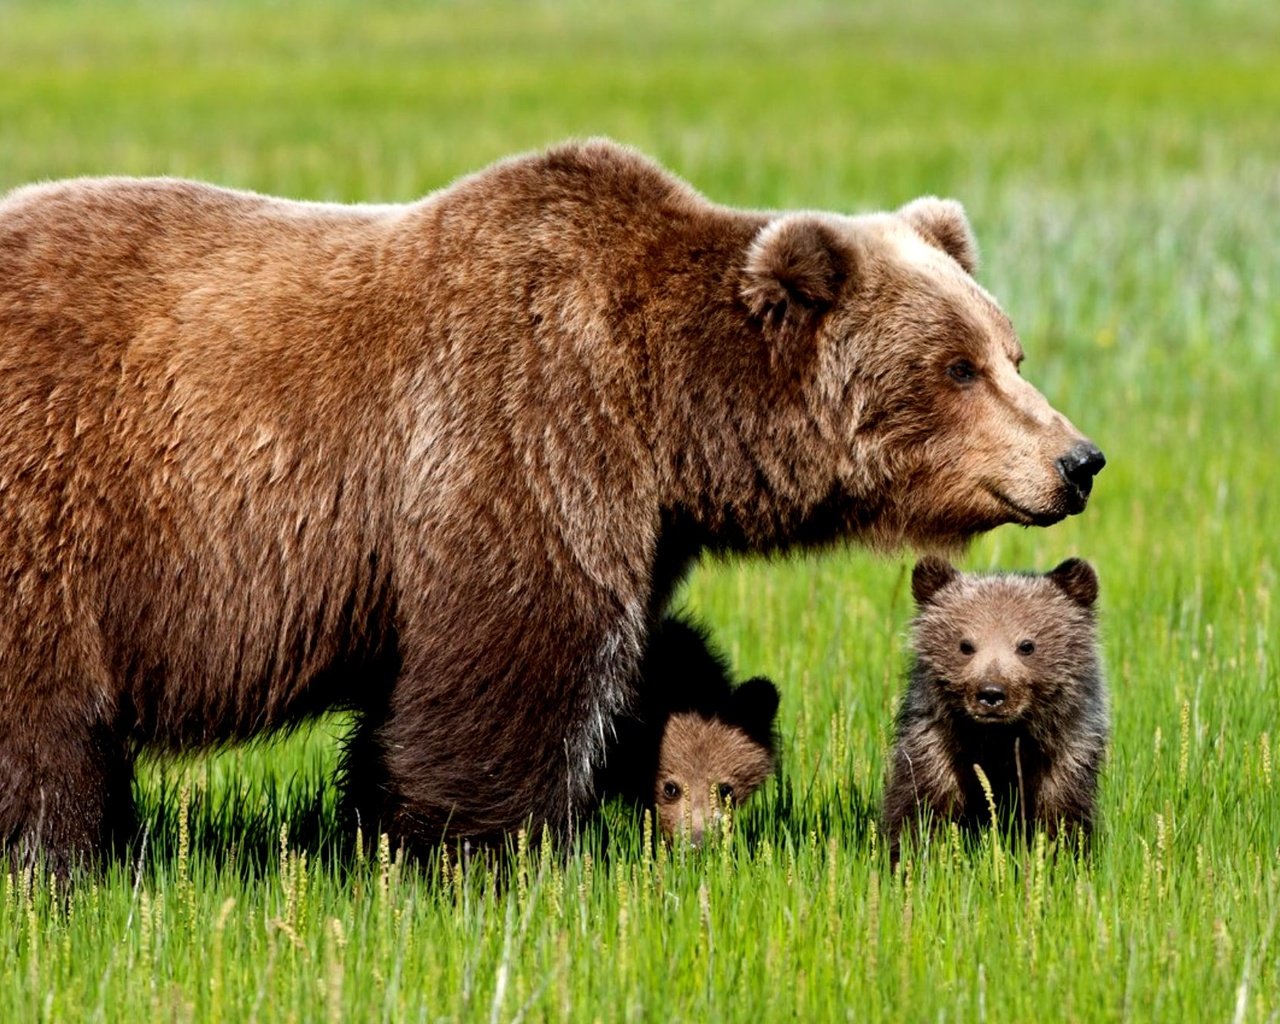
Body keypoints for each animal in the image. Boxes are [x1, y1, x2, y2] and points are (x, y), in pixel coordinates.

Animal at [0, 140, 1100, 870]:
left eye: (1010, 349)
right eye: (955, 366)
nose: (1078, 459)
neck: (669, 412)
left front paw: (379, 830)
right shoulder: (524, 429)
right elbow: (516, 662)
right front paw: (495, 854)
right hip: (56, 516)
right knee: (42, 721)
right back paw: (60, 862)